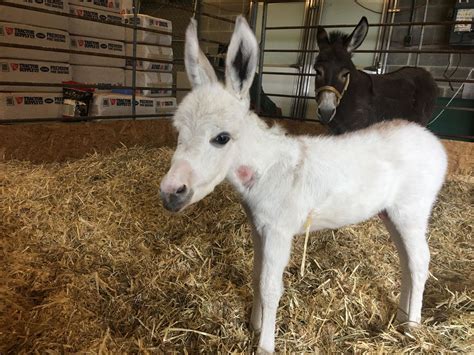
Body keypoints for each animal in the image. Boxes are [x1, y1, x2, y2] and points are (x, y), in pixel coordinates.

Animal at [161, 16, 446, 354]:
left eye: (221, 138)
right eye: (177, 131)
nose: (170, 193)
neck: (268, 168)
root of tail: (432, 141)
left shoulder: (279, 231)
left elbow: (271, 287)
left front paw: (265, 345)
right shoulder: (259, 229)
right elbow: (256, 276)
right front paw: (254, 325)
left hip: (411, 211)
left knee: (420, 261)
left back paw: (412, 327)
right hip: (390, 213)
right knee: (406, 261)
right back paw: (402, 317)